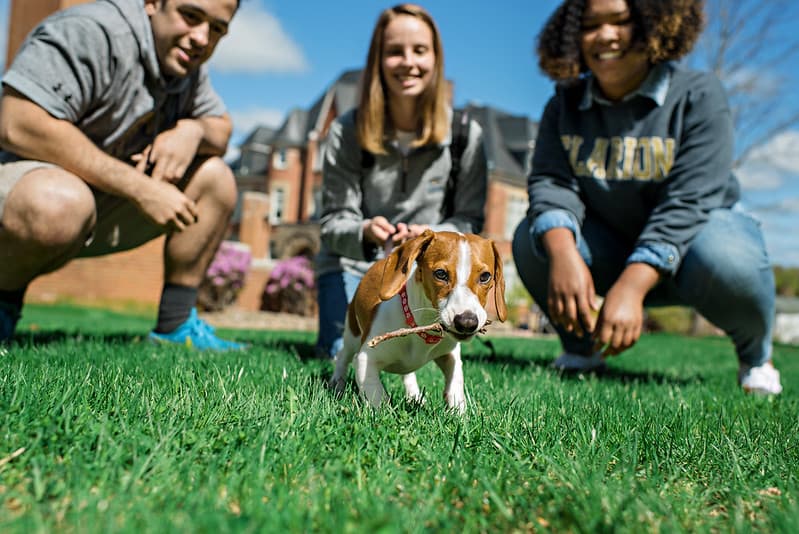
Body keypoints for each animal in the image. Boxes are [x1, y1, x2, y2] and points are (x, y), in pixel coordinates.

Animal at [330, 231, 506, 414]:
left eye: (485, 276)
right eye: (440, 273)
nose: (467, 322)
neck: (421, 328)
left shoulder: (451, 354)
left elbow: (455, 381)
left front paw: (459, 413)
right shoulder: (365, 359)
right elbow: (376, 394)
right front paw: (382, 413)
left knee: (408, 375)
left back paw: (415, 396)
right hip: (353, 334)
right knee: (342, 355)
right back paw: (337, 384)